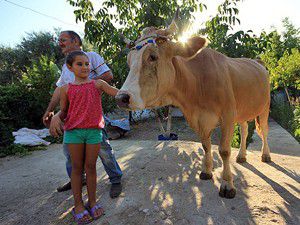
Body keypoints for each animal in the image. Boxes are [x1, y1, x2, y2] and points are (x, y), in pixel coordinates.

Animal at [116, 19, 270, 199]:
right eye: (128, 60)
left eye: (153, 57)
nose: (121, 98)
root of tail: (258, 61)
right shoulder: (199, 119)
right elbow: (206, 146)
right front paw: (206, 171)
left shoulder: (227, 117)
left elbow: (224, 150)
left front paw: (227, 184)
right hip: (242, 110)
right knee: (245, 128)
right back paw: (241, 155)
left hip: (265, 107)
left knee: (264, 130)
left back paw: (265, 155)